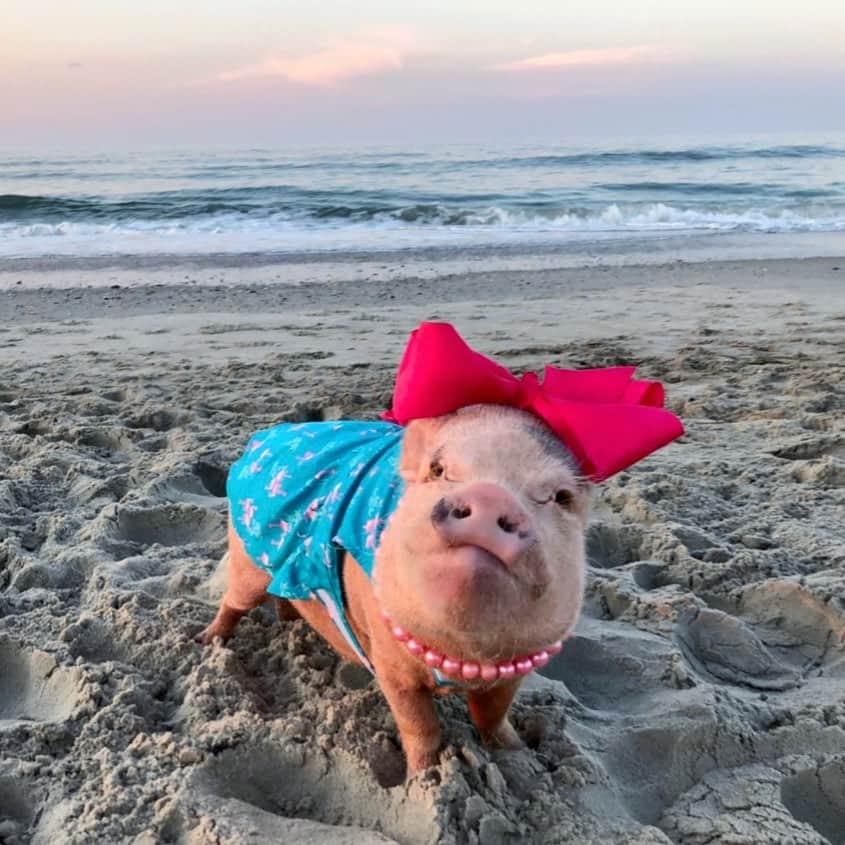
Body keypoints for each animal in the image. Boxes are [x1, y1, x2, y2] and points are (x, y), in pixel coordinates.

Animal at [198, 406, 588, 776]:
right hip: (246, 559)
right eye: (437, 469)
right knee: (234, 603)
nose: (491, 495)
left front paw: (519, 753)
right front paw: (423, 778)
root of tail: (265, 437)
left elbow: (492, 715)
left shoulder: (516, 670)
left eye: (561, 497)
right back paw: (206, 640)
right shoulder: (390, 663)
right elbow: (420, 725)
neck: (461, 657)